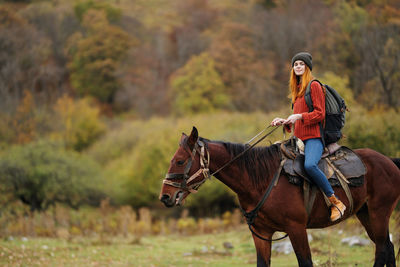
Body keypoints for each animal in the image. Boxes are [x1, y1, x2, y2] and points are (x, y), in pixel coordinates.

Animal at [159, 127, 400, 267]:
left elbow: (306, 262)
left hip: (379, 213)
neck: (260, 180)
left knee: (382, 249)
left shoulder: (296, 228)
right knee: (387, 247)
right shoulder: (261, 233)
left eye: (180, 161)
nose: (165, 197)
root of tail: (388, 160)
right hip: (365, 213)